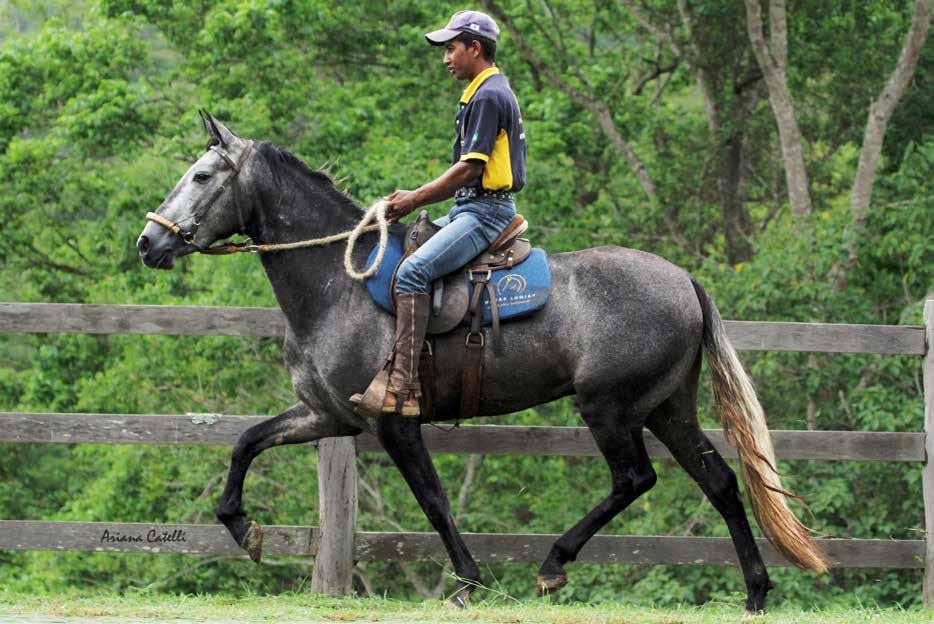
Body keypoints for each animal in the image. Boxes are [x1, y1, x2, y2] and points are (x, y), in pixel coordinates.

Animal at [137, 114, 828, 612]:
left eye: (203, 176)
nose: (149, 241)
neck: (339, 285)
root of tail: (684, 280)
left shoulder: (393, 423)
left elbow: (434, 501)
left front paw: (468, 580)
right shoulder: (327, 416)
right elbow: (247, 443)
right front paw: (241, 528)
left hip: (610, 409)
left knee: (635, 480)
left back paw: (553, 566)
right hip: (666, 409)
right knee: (720, 481)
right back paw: (756, 592)